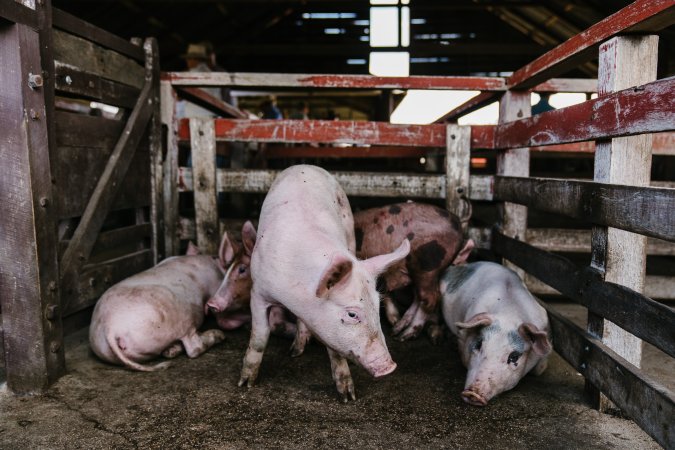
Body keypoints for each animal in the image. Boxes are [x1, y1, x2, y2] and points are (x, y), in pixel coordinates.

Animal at [354, 201, 476, 342]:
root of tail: (457, 223)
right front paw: (394, 320)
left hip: (427, 265)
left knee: (430, 299)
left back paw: (405, 336)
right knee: (420, 296)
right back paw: (397, 329)